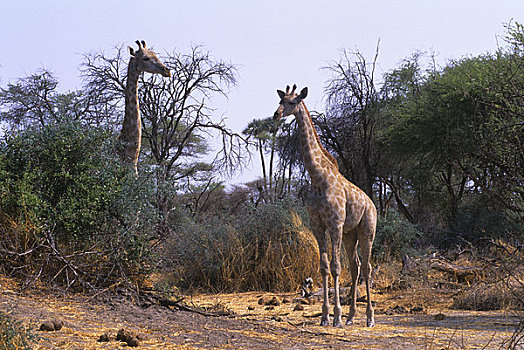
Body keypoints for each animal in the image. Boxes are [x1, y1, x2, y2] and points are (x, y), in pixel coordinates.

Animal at [274, 85, 376, 328]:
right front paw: (325, 316)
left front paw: (336, 316)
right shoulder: (318, 225)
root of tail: (372, 204)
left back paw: (369, 318)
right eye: (280, 100)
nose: (276, 115)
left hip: (367, 230)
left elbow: (337, 267)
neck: (318, 177)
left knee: (367, 267)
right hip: (350, 234)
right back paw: (351, 317)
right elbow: (324, 267)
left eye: (292, 102)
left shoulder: (335, 224)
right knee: (356, 266)